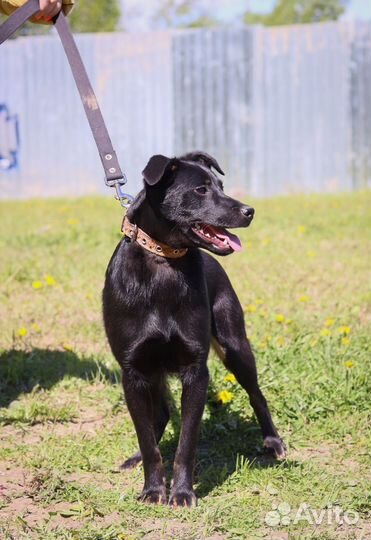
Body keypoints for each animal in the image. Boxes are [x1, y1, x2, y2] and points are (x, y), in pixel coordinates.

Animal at [103, 151, 286, 506]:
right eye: (201, 190)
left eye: (221, 186)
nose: (249, 211)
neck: (164, 261)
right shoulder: (133, 371)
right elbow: (147, 440)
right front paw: (153, 489)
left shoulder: (195, 370)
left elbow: (186, 443)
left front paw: (183, 492)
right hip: (155, 372)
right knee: (159, 416)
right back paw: (136, 459)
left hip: (235, 346)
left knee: (257, 395)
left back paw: (273, 442)